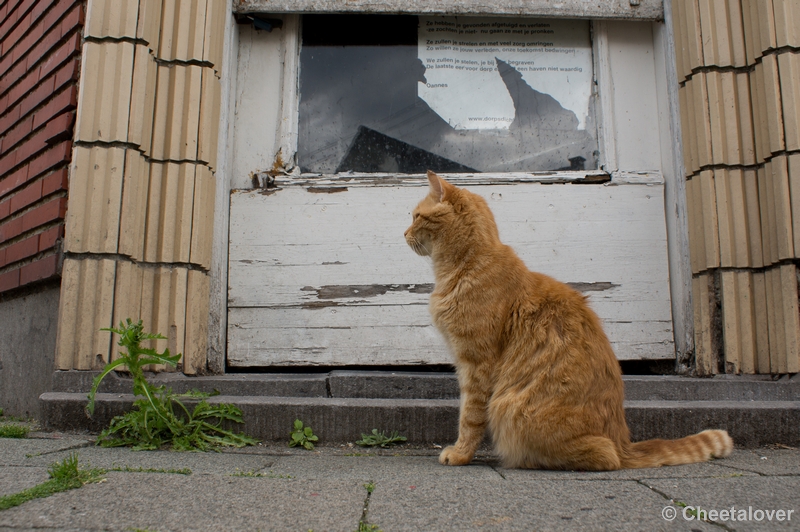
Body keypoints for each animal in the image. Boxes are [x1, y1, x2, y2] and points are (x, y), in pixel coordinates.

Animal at [406, 170, 732, 470]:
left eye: (416, 216)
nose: (403, 233)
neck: (469, 264)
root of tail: (623, 442)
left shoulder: (475, 364)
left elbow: (469, 417)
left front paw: (461, 454)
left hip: (510, 407)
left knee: (605, 456)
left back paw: (527, 460)